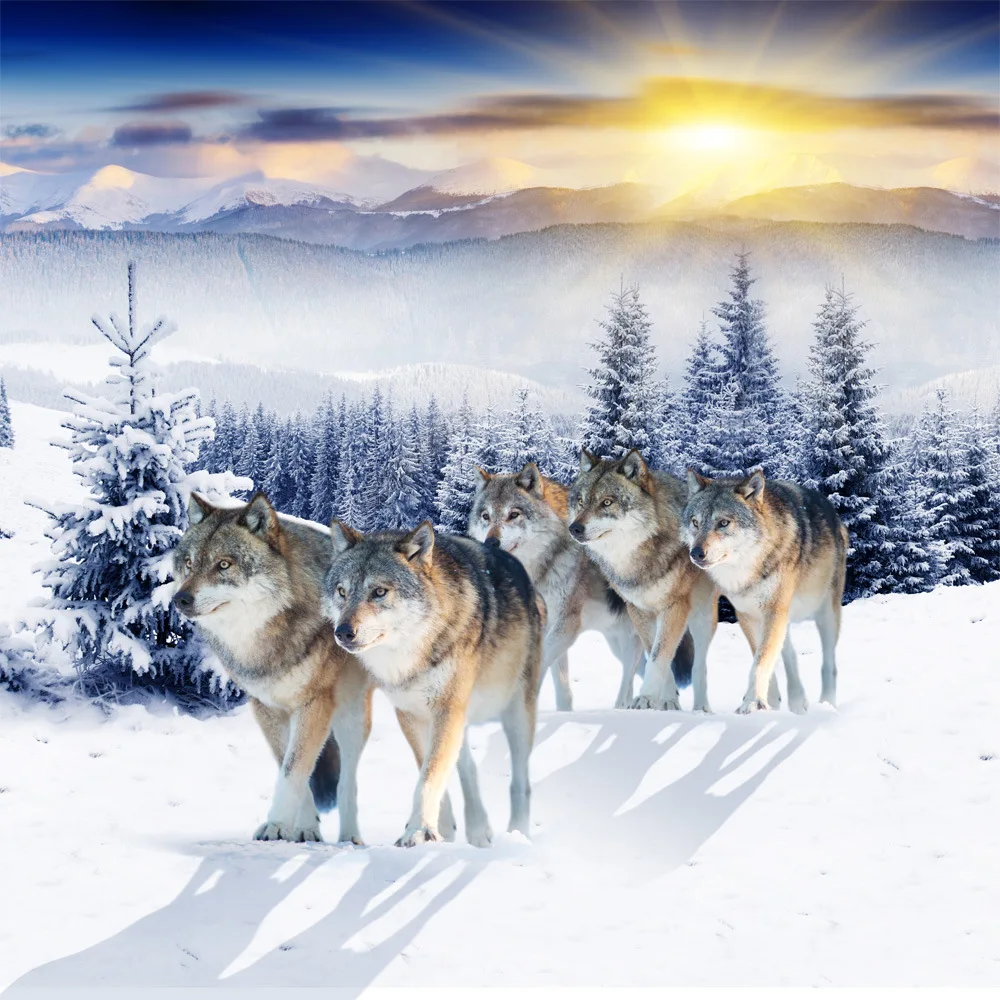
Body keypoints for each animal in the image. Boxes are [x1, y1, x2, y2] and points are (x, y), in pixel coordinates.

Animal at [172, 492, 372, 844]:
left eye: (224, 564)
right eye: (189, 564)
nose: (180, 599)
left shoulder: (314, 704)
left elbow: (294, 768)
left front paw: (276, 824)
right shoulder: (265, 707)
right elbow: (289, 766)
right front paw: (301, 827)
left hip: (351, 715)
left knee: (348, 779)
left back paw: (350, 837)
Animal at [325, 519, 543, 848]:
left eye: (379, 592)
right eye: (342, 591)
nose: (342, 632)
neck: (412, 654)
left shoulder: (446, 708)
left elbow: (429, 775)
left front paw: (417, 830)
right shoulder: (411, 714)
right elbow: (428, 770)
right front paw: (439, 829)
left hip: (515, 714)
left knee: (521, 780)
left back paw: (518, 835)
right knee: (467, 767)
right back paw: (478, 830)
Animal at [468, 462, 665, 710]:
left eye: (513, 514)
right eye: (485, 516)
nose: (491, 542)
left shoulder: (567, 624)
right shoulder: (548, 626)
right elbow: (562, 687)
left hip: (635, 638)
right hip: (617, 642)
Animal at [567, 450, 718, 713]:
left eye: (607, 502)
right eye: (581, 501)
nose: (574, 528)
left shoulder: (674, 607)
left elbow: (659, 655)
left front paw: (646, 697)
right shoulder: (638, 610)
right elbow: (655, 653)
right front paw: (664, 700)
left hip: (702, 616)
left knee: (700, 664)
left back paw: (701, 707)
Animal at [683, 470, 847, 714]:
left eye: (723, 523)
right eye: (695, 522)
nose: (695, 553)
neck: (747, 569)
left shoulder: (773, 610)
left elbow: (761, 661)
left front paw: (752, 702)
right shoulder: (747, 614)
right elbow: (759, 656)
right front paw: (768, 700)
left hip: (826, 614)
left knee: (829, 662)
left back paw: (827, 703)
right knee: (789, 653)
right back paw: (797, 700)